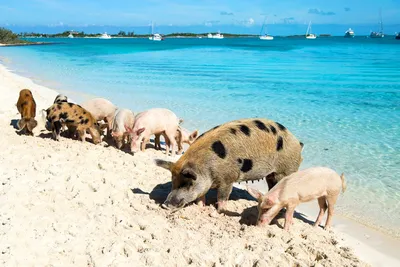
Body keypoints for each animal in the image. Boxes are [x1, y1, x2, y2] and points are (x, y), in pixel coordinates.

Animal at [155, 119, 304, 214]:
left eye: (187, 184)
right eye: (173, 182)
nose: (165, 205)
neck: (206, 167)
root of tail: (298, 142)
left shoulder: (228, 179)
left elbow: (222, 197)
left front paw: (220, 211)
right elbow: (201, 196)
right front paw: (200, 207)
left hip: (286, 170)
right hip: (272, 175)